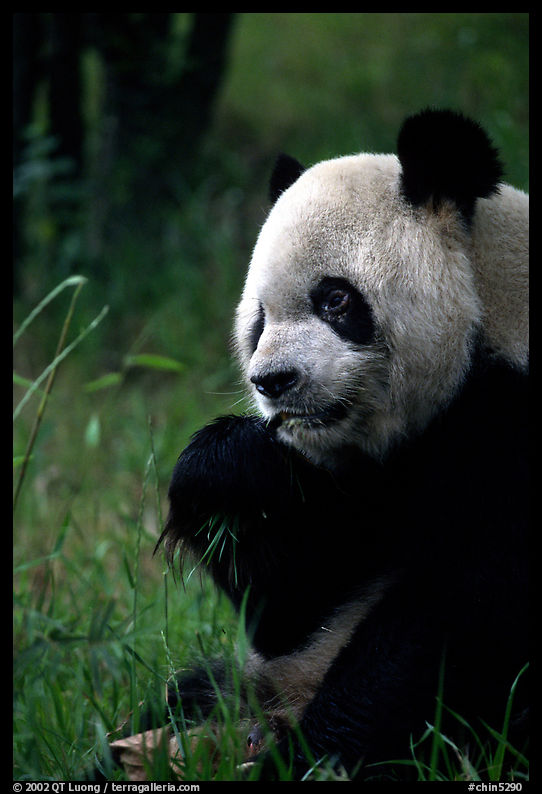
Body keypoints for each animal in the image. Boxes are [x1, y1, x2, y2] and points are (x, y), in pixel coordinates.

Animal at [159, 109, 528, 780]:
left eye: (336, 299)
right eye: (259, 318)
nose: (273, 381)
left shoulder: (509, 422)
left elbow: (453, 616)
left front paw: (315, 757)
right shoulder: (369, 483)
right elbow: (297, 603)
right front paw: (227, 470)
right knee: (192, 690)